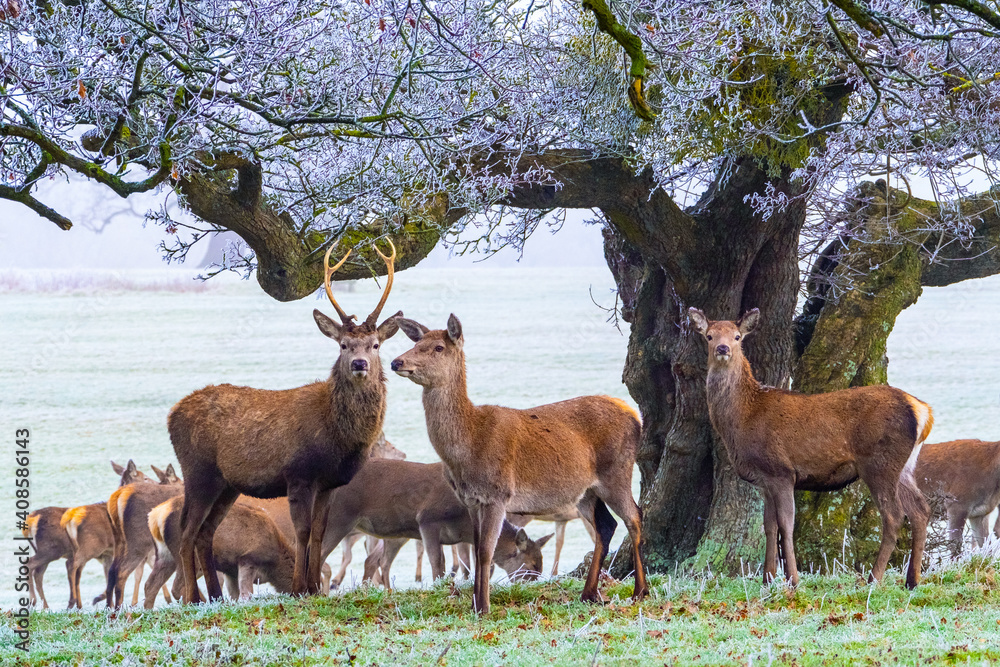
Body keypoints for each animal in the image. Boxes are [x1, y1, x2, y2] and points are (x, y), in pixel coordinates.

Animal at [143, 495, 295, 607]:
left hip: (164, 555)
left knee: (150, 584)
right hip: (187, 555)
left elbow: (235, 595)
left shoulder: (231, 571)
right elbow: (246, 594)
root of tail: (155, 516)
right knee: (178, 586)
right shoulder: (248, 559)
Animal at [168, 240, 401, 602]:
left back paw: (216, 596)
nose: (360, 364)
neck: (335, 434)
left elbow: (319, 532)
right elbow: (301, 531)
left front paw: (316, 588)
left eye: (375, 344)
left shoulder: (330, 482)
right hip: (197, 469)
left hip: (226, 483)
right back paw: (195, 598)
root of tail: (171, 414)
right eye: (343, 345)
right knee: (186, 530)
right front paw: (298, 588)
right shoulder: (298, 474)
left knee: (206, 531)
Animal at [317, 458, 553, 590]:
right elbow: (437, 562)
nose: (532, 585)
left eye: (541, 566)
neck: (465, 524)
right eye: (531, 565)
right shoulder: (427, 519)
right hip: (340, 516)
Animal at [390, 314, 648, 614]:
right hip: (586, 490)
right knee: (606, 526)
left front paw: (484, 607)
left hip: (617, 471)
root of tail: (636, 416)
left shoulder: (498, 494)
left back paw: (640, 591)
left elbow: (486, 552)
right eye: (416, 343)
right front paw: (475, 603)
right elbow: (477, 549)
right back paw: (589, 594)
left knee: (634, 517)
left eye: (438, 347)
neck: (468, 445)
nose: (396, 362)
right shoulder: (471, 500)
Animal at [688, 307, 933, 589]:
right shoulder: (764, 479)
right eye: (709, 336)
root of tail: (922, 410)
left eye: (738, 336)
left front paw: (792, 579)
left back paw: (873, 579)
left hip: (879, 463)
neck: (744, 417)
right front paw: (767, 578)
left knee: (893, 516)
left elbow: (786, 525)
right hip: (904, 466)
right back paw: (912, 580)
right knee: (920, 510)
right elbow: (769, 526)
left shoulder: (781, 470)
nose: (723, 348)